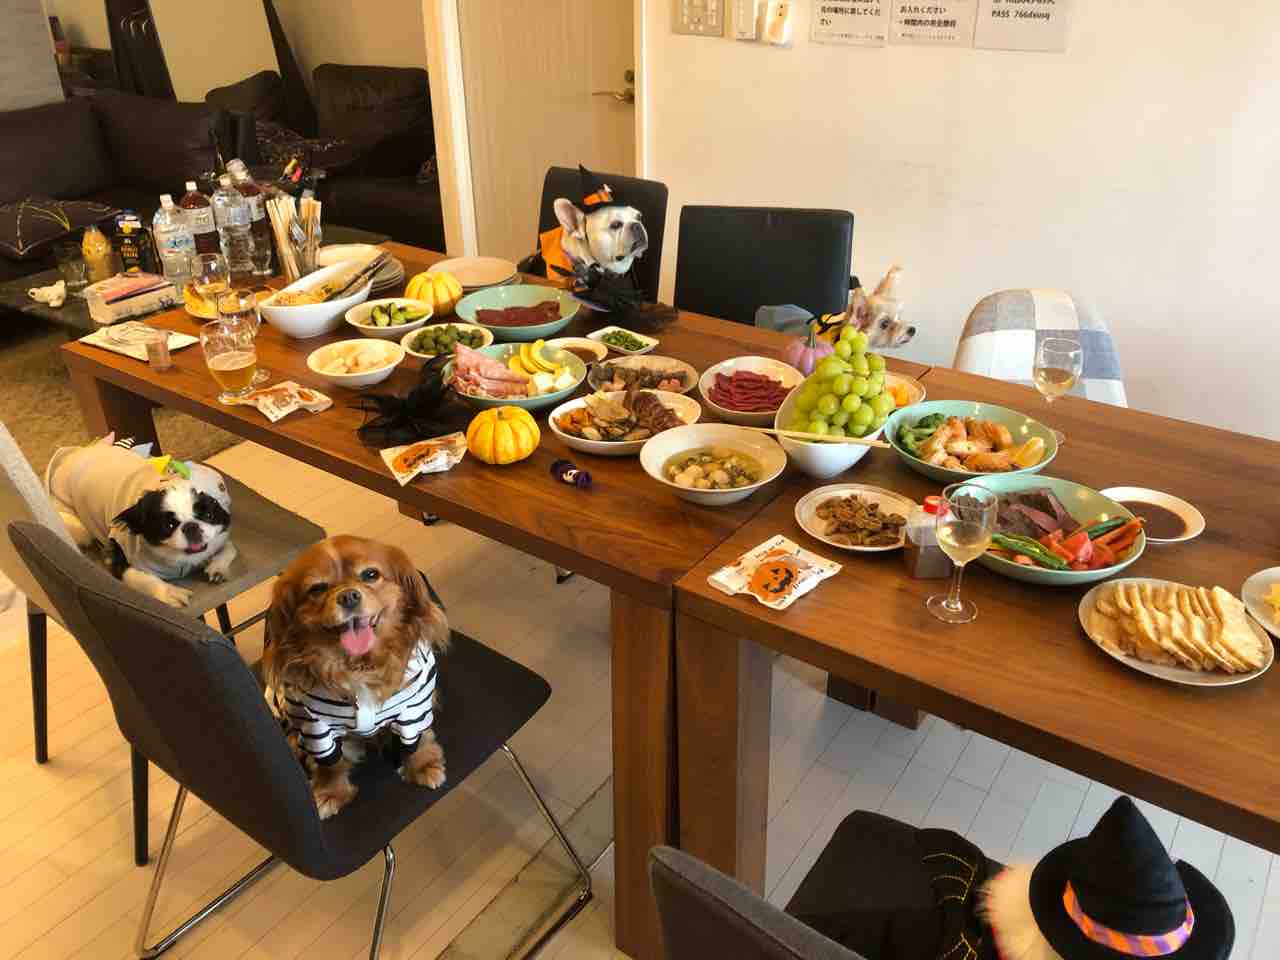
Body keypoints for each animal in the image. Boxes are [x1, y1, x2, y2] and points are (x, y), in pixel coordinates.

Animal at [45, 438, 235, 607]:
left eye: (209, 515)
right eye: (168, 526)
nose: (191, 526)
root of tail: (74, 453)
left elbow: (230, 548)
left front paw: (217, 567)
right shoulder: (123, 563)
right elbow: (144, 578)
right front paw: (169, 592)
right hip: (77, 525)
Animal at [265, 536, 450, 819]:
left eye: (370, 574)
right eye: (317, 588)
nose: (348, 595)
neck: (359, 666)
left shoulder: (413, 708)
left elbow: (413, 740)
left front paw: (422, 766)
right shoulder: (316, 726)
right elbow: (330, 764)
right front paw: (330, 793)